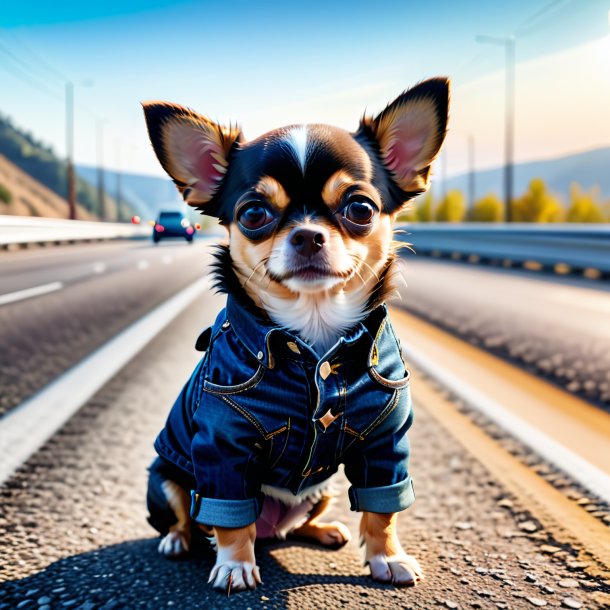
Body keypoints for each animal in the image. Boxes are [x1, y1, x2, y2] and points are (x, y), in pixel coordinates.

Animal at [142, 78, 446, 592]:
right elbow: (230, 518)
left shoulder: (386, 442)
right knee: (195, 516)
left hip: (320, 491)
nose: (307, 235)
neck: (315, 333)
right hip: (166, 476)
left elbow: (383, 510)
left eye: (360, 208)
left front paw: (387, 557)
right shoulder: (221, 449)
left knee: (295, 524)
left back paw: (323, 531)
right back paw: (180, 540)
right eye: (253, 213)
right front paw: (235, 566)